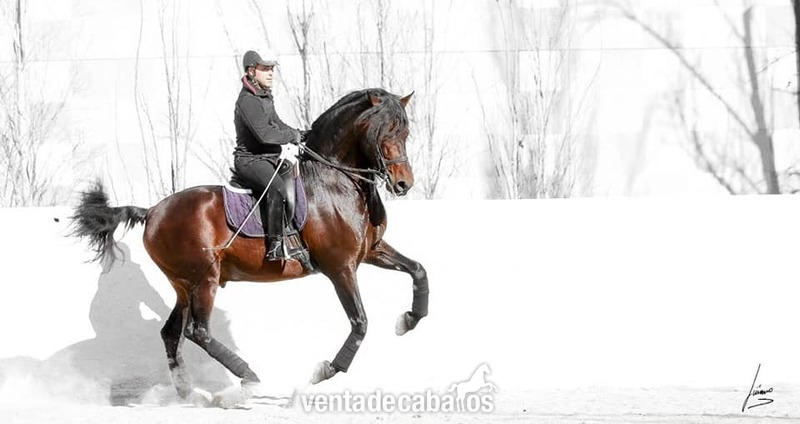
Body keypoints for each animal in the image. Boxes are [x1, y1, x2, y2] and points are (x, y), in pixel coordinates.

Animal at [70, 88, 429, 402]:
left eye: (405, 132)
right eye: (384, 132)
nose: (403, 184)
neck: (335, 183)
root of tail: (152, 211)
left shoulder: (371, 251)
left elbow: (418, 271)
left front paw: (409, 319)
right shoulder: (341, 267)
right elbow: (360, 322)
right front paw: (324, 371)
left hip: (184, 285)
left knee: (172, 333)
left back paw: (188, 393)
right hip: (204, 278)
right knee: (197, 332)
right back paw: (248, 378)